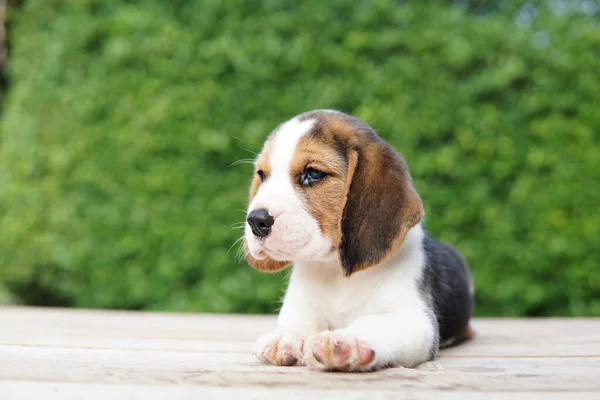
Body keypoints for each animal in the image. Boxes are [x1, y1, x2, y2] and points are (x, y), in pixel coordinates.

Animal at [243, 110, 474, 372]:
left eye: (313, 174)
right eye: (262, 175)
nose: (256, 220)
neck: (335, 271)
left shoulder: (415, 318)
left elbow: (376, 324)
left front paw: (347, 341)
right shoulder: (300, 304)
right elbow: (297, 321)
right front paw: (287, 336)